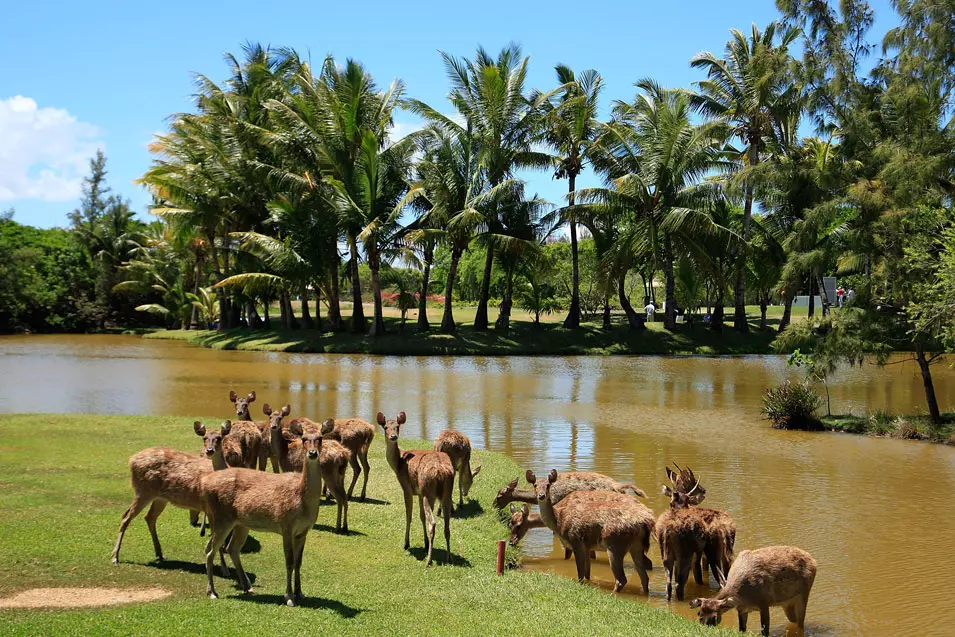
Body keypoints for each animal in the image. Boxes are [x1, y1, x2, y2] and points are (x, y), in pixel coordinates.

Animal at [111, 420, 231, 572]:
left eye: (219, 438)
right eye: (204, 438)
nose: (209, 450)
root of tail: (131, 459)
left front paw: (224, 567)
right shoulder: (210, 509)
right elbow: (216, 537)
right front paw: (224, 569)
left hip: (159, 498)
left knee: (149, 517)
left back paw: (160, 555)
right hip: (142, 490)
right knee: (126, 516)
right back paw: (115, 557)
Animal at [198, 420, 324, 604]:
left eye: (321, 438)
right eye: (304, 439)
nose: (312, 453)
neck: (303, 501)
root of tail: (205, 483)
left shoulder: (303, 531)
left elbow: (299, 562)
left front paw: (300, 593)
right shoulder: (286, 525)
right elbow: (289, 562)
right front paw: (289, 597)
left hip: (241, 523)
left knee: (231, 548)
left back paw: (247, 587)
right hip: (221, 517)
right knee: (210, 550)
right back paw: (212, 592)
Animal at [378, 412, 456, 568]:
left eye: (397, 426)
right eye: (385, 427)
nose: (393, 436)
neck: (398, 463)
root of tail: (442, 471)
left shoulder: (407, 488)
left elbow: (409, 515)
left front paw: (406, 543)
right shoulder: (419, 493)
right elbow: (420, 516)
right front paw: (425, 544)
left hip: (429, 491)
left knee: (433, 523)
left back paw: (429, 561)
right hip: (445, 492)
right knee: (447, 525)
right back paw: (449, 558)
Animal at [524, 468, 656, 596]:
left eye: (548, 485)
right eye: (535, 485)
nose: (541, 495)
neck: (558, 521)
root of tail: (646, 522)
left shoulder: (575, 541)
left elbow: (580, 574)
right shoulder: (587, 546)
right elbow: (587, 573)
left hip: (616, 544)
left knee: (621, 579)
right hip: (636, 546)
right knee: (644, 577)